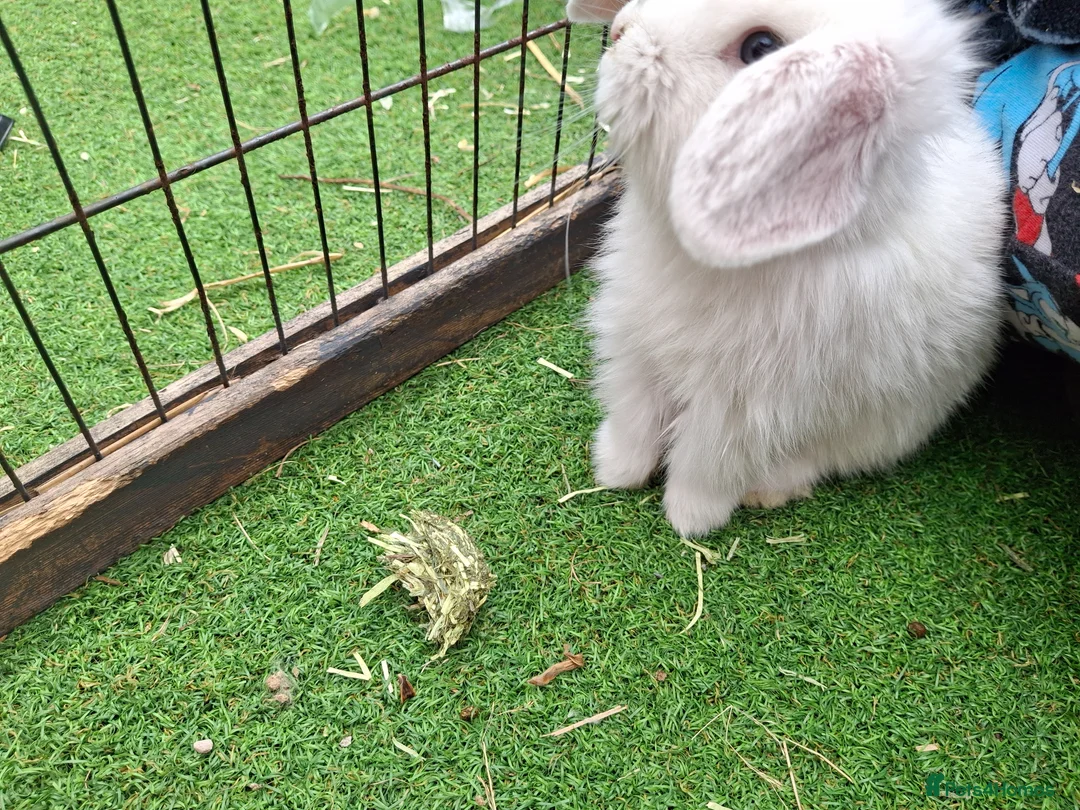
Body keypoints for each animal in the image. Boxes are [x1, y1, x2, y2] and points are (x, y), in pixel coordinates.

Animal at [566, 0, 1009, 537]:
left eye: (760, 48)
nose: (621, 30)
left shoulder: (743, 407)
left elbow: (705, 461)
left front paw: (690, 519)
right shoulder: (635, 353)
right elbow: (634, 417)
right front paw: (614, 471)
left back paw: (768, 491)